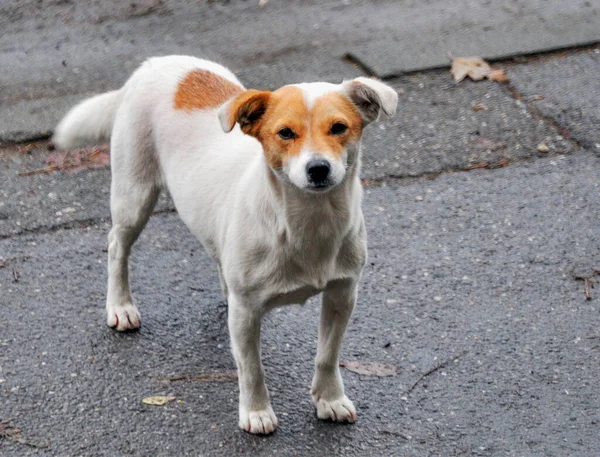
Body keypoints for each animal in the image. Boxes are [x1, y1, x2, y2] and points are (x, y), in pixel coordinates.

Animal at [52, 55, 398, 432]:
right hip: (134, 195)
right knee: (117, 245)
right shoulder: (246, 313)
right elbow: (251, 368)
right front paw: (257, 412)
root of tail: (156, 62)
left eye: (338, 127)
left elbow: (328, 355)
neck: (307, 221)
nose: (318, 169)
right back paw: (120, 305)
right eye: (285, 133)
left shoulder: (341, 295)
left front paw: (329, 399)